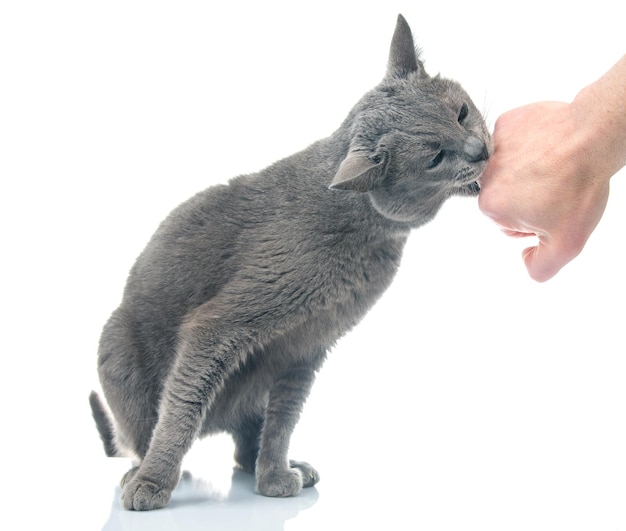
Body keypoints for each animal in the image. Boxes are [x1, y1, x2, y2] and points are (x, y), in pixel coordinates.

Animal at [89, 13, 488, 512]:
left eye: (461, 112)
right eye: (435, 156)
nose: (480, 151)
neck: (368, 238)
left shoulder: (306, 346)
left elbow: (283, 418)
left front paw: (275, 475)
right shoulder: (219, 325)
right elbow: (182, 408)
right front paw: (153, 484)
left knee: (245, 437)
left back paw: (280, 465)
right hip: (117, 346)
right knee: (147, 431)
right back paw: (137, 472)